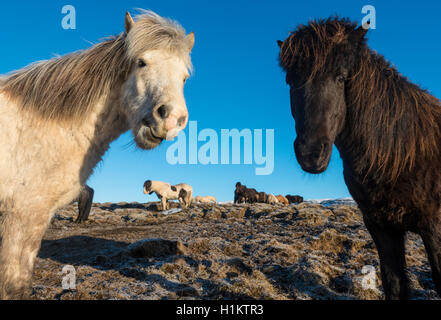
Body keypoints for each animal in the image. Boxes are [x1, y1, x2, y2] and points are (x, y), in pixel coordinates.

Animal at [278, 16, 440, 298]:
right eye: (290, 81)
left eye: (341, 77)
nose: (310, 153)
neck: (402, 155)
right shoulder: (382, 228)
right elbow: (394, 284)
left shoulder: (435, 230)